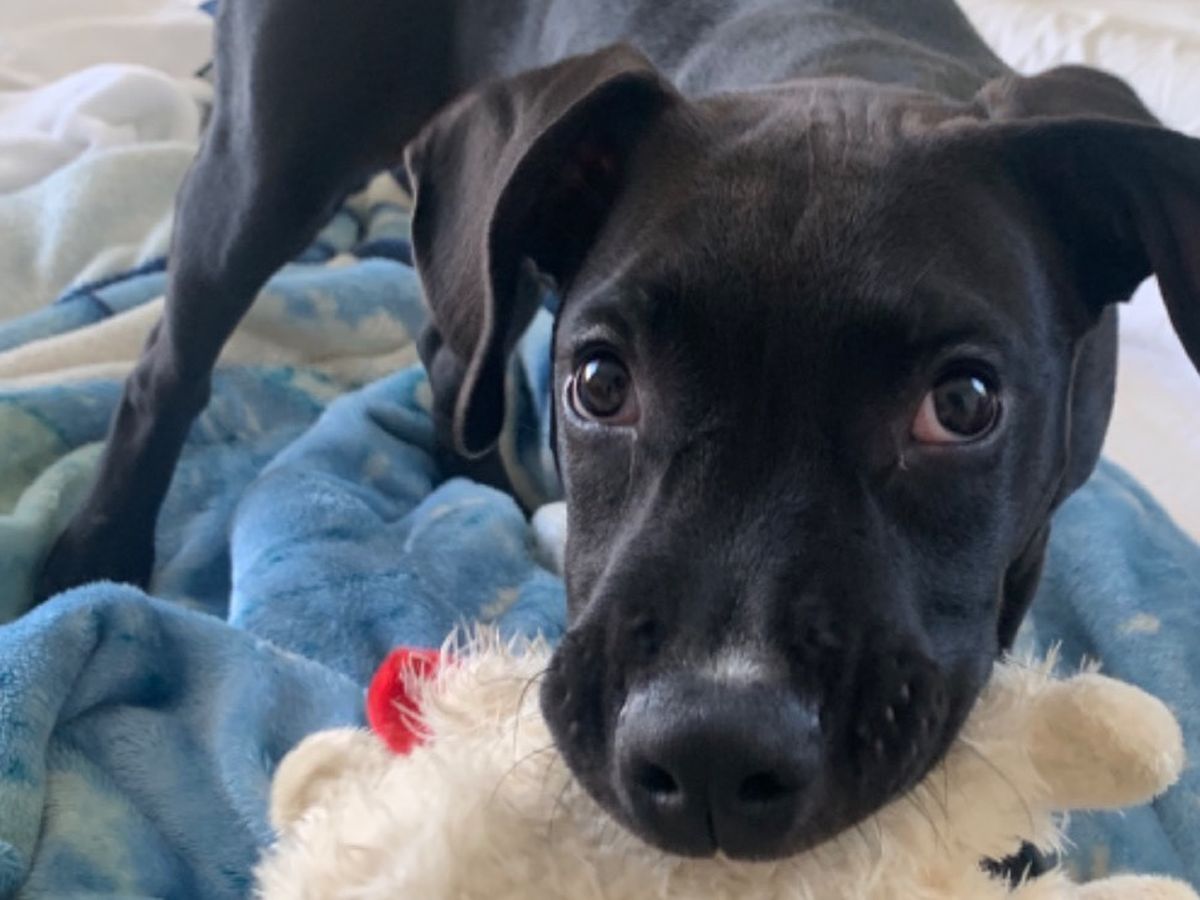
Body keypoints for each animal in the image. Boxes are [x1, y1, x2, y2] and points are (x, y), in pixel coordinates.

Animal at [35, 0, 1200, 864]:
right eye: (599, 383)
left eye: (962, 405)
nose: (712, 752)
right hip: (265, 164)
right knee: (168, 369)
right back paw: (97, 550)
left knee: (451, 341)